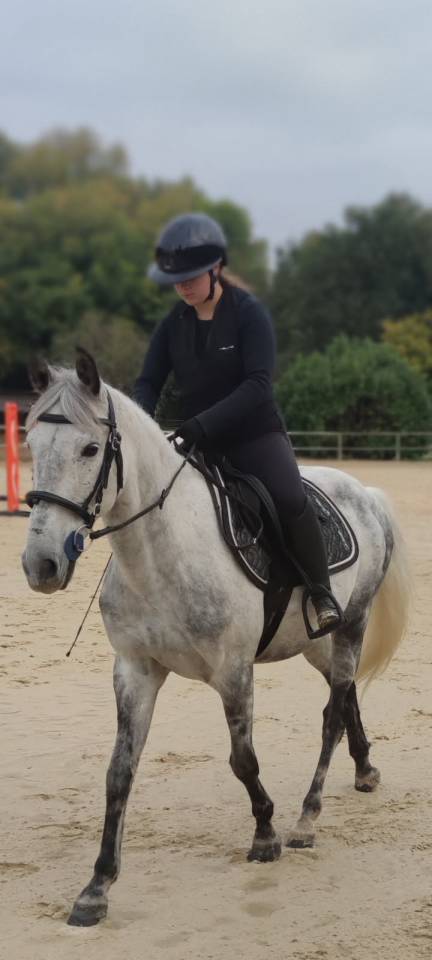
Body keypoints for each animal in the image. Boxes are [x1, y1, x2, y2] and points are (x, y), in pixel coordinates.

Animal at [22, 351, 410, 927]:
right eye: (31, 444)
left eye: (91, 449)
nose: (41, 564)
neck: (160, 554)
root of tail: (366, 493)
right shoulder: (134, 670)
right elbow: (119, 772)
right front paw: (96, 887)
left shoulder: (233, 671)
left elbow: (242, 759)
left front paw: (266, 833)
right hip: (318, 640)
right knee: (347, 700)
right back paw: (364, 770)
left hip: (351, 624)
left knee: (332, 715)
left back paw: (306, 819)